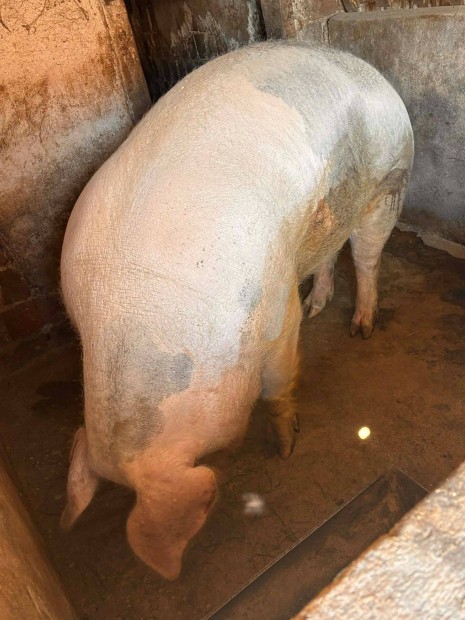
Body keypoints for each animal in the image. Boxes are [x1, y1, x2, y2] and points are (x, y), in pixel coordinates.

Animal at [60, 41, 413, 579]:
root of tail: (365, 68)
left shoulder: (275, 316)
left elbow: (277, 386)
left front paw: (287, 449)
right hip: (327, 217)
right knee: (328, 253)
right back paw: (318, 306)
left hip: (388, 180)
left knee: (366, 257)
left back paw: (362, 329)